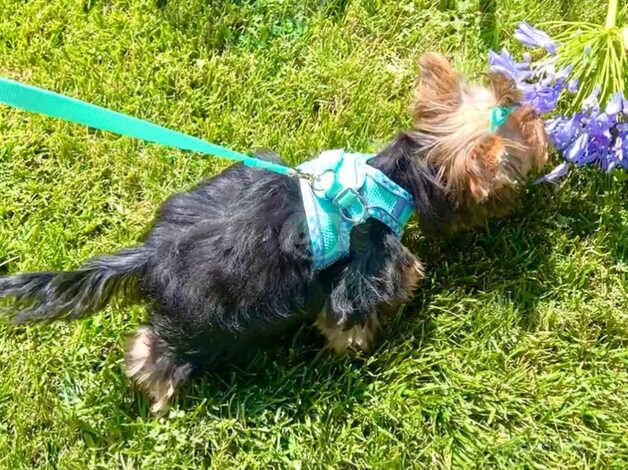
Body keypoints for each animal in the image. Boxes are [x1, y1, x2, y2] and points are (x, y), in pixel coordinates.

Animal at [0, 54, 548, 412]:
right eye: (529, 132)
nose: (542, 117)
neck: (393, 175)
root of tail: (151, 255)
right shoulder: (363, 274)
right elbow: (349, 320)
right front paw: (360, 348)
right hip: (202, 322)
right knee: (157, 353)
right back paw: (159, 395)